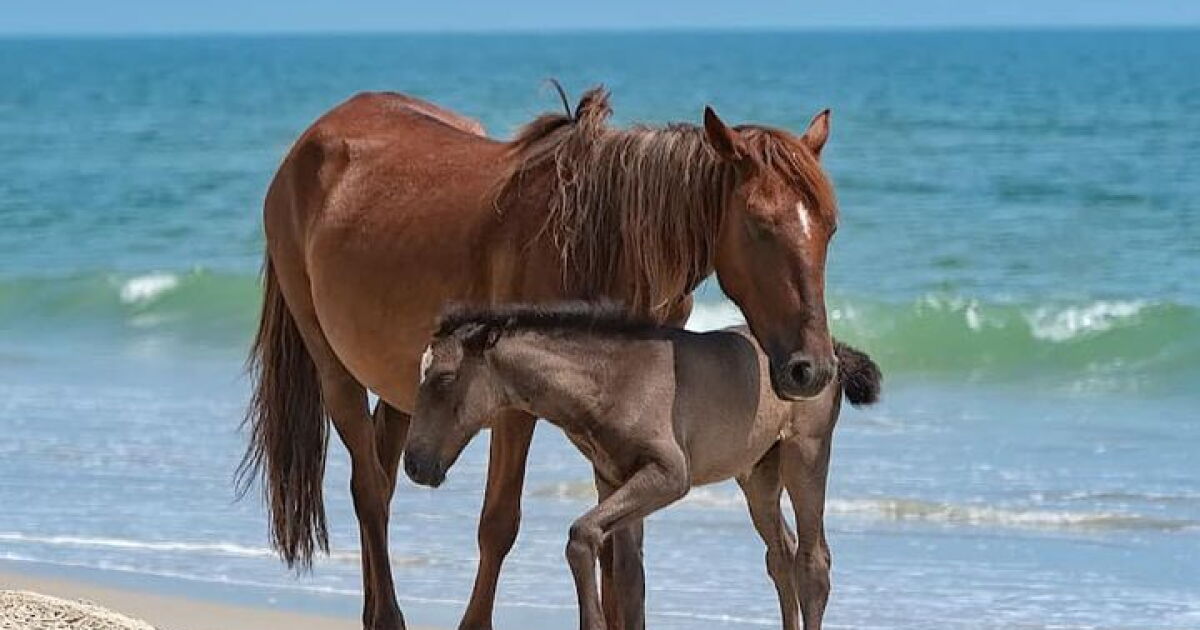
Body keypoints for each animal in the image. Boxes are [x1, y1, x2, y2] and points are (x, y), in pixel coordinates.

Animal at [404, 303, 882, 630]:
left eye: (444, 378)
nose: (414, 464)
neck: (611, 381)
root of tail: (832, 352)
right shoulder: (612, 478)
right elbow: (629, 578)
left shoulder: (670, 475)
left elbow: (582, 535)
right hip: (758, 474)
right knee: (780, 553)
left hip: (806, 454)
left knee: (812, 562)